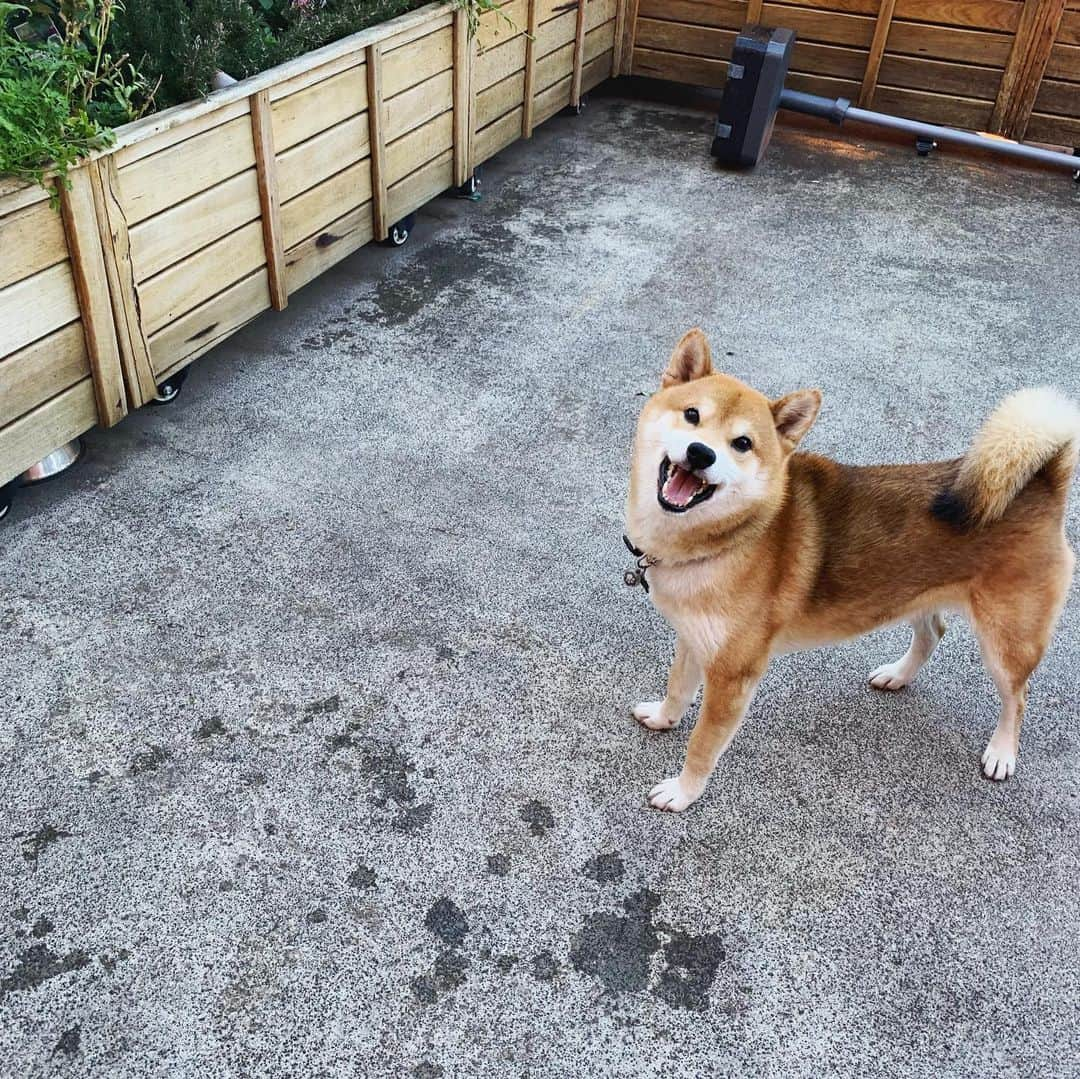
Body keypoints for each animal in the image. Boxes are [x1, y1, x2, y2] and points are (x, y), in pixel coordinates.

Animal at [630, 326, 1075, 812]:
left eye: (742, 444)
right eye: (692, 415)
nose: (700, 453)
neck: (729, 538)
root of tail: (1043, 483)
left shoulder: (732, 676)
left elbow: (702, 745)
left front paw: (683, 792)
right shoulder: (694, 638)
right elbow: (677, 688)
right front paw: (663, 717)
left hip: (1007, 642)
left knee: (1017, 697)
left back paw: (1002, 751)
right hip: (915, 595)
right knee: (931, 633)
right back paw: (898, 675)